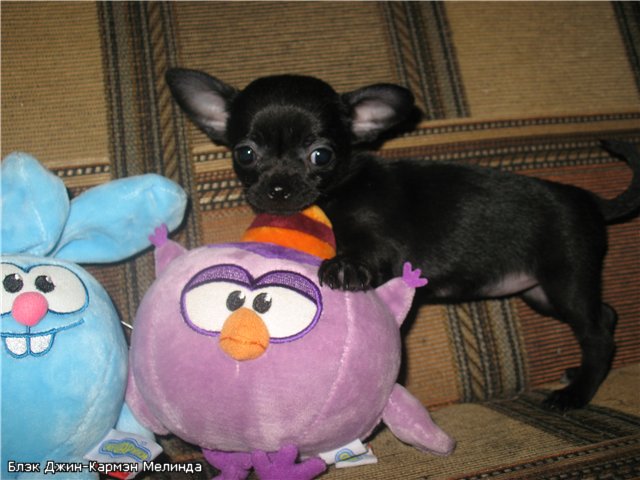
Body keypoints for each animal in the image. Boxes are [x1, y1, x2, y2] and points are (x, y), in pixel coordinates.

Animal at [166, 67, 640, 410]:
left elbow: (363, 255)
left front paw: (344, 268)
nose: (279, 188)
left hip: (565, 279)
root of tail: (590, 201)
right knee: (607, 314)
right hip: (539, 293)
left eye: (321, 155)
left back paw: (574, 396)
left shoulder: (382, 246)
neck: (339, 189)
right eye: (245, 154)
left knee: (599, 332)